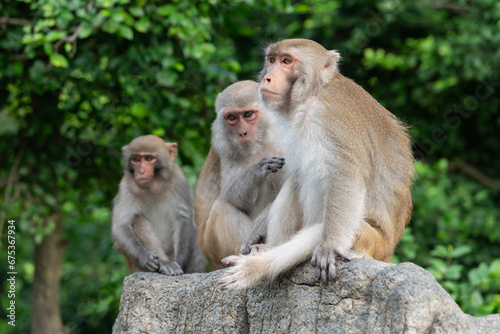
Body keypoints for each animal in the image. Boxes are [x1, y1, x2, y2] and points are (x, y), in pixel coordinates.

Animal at [112, 134, 206, 276]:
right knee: (138, 220)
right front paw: (145, 258)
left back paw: (193, 271)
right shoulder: (125, 186)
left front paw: (179, 262)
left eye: (149, 158)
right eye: (136, 159)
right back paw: (163, 263)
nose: (141, 171)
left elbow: (183, 219)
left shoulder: (179, 180)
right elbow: (120, 226)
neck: (153, 184)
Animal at [196, 82, 290, 270]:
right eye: (232, 117)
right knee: (222, 207)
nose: (242, 133)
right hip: (213, 249)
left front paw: (259, 228)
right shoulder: (222, 146)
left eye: (247, 114)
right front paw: (258, 169)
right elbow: (232, 198)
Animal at [220, 38, 414, 290]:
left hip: (369, 242)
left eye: (287, 61)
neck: (313, 93)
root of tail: (388, 253)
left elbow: (345, 178)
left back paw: (255, 267)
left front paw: (329, 246)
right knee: (296, 181)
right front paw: (258, 228)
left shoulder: (330, 118)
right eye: (271, 60)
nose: (267, 78)